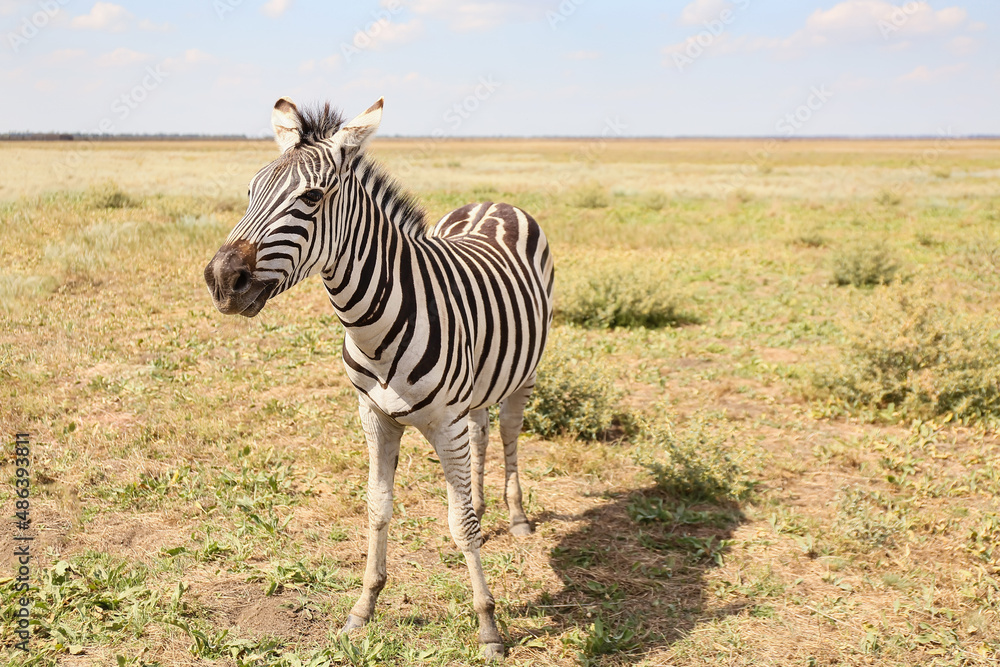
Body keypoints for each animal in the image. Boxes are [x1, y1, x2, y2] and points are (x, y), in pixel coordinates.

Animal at [205, 96, 556, 660]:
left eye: (311, 198)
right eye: (253, 190)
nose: (221, 280)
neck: (375, 326)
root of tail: (494, 201)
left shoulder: (445, 424)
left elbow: (459, 525)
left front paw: (488, 627)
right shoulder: (373, 416)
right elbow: (377, 508)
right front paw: (363, 608)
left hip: (523, 373)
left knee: (506, 434)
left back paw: (517, 517)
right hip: (479, 383)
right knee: (482, 435)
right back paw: (484, 504)